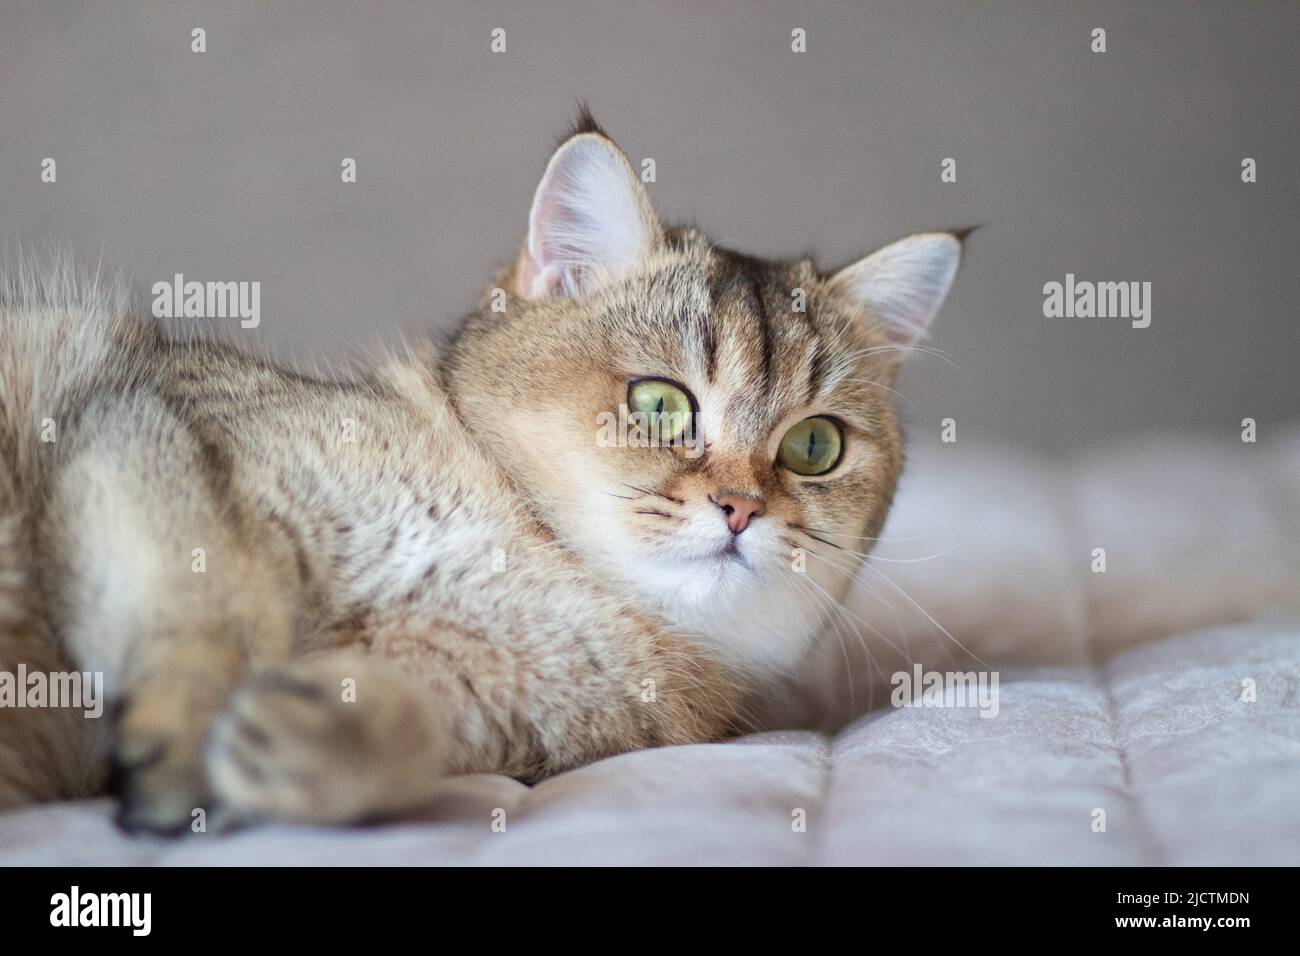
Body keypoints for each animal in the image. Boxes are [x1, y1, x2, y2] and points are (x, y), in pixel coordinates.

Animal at [0, 110, 967, 832]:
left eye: (815, 448)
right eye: (659, 404)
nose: (740, 508)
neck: (543, 563)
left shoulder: (502, 727)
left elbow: (413, 738)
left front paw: (315, 735)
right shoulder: (147, 414)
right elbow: (213, 604)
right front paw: (189, 731)